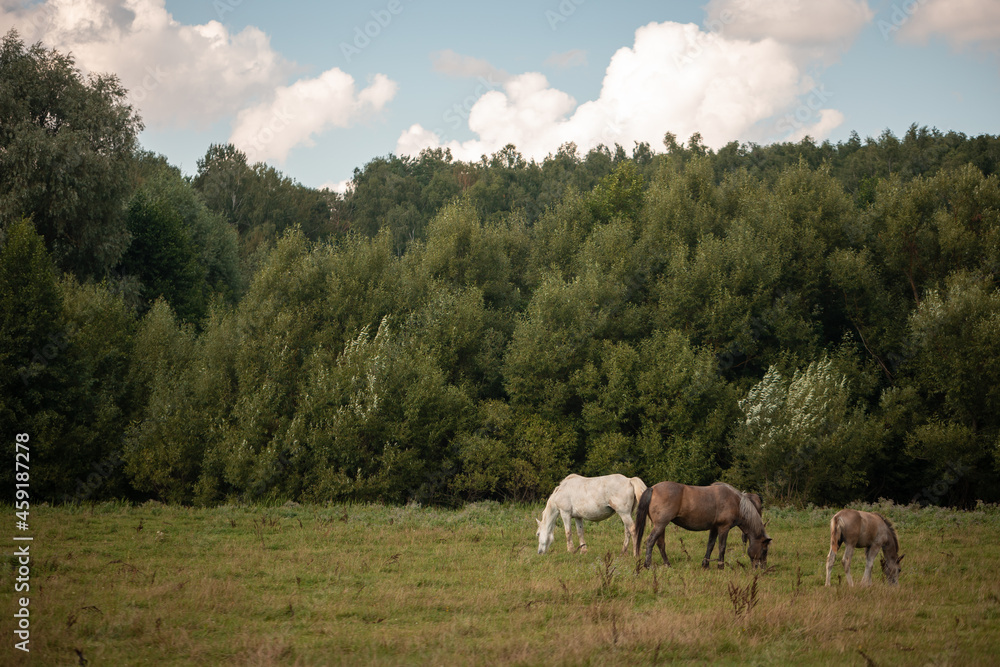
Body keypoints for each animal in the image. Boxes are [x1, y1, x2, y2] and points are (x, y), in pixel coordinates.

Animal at [635, 481, 771, 569]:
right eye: (764, 550)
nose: (762, 568)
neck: (736, 503)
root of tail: (652, 489)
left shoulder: (714, 527)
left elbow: (710, 545)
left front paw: (706, 565)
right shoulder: (724, 528)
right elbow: (722, 546)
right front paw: (720, 566)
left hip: (661, 526)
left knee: (660, 544)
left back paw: (668, 565)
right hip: (660, 525)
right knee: (650, 541)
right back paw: (648, 566)